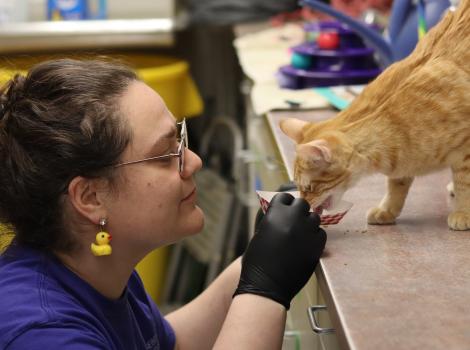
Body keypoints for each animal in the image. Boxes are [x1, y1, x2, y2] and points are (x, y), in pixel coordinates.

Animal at [280, 0, 470, 230]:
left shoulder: (466, 151)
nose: (303, 205)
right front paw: (387, 210)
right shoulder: (402, 167)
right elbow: (396, 186)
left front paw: (463, 211)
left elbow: (465, 183)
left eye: (308, 187)